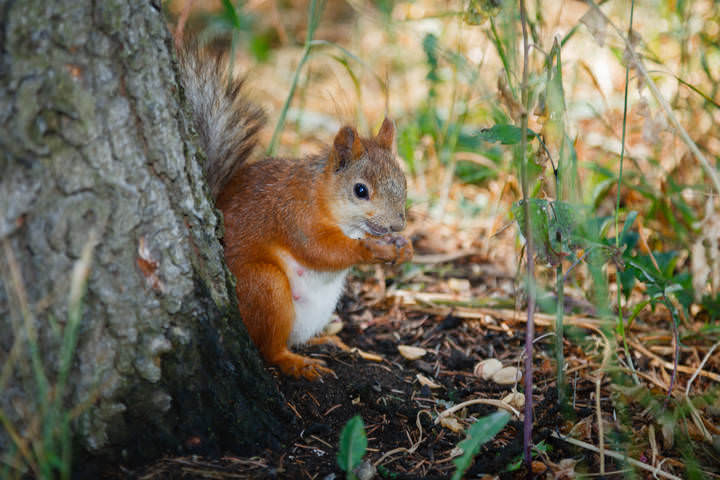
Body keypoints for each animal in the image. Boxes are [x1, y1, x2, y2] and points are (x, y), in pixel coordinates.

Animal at [178, 47, 413, 380]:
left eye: (403, 182)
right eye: (360, 190)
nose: (397, 225)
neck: (321, 195)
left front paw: (405, 248)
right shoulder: (293, 216)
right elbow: (319, 250)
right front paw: (370, 249)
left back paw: (326, 341)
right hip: (265, 287)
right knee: (271, 349)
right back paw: (297, 363)